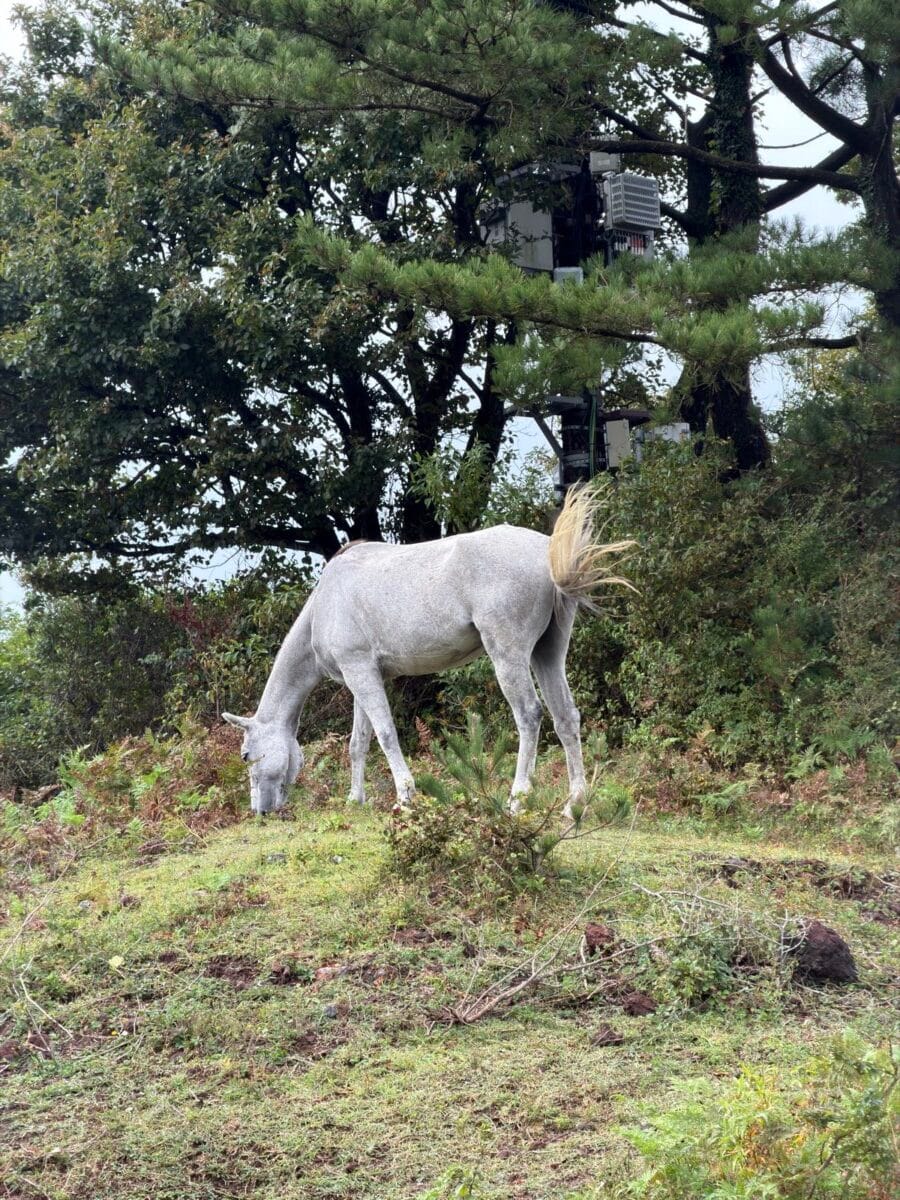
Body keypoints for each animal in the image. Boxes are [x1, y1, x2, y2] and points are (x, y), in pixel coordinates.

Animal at [223, 486, 633, 817]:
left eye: (246, 755)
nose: (260, 811)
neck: (326, 601)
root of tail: (545, 551)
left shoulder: (360, 672)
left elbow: (385, 733)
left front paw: (405, 796)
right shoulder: (363, 677)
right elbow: (359, 742)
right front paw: (356, 799)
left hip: (509, 656)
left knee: (530, 716)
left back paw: (517, 800)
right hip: (547, 655)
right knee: (566, 717)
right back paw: (575, 803)